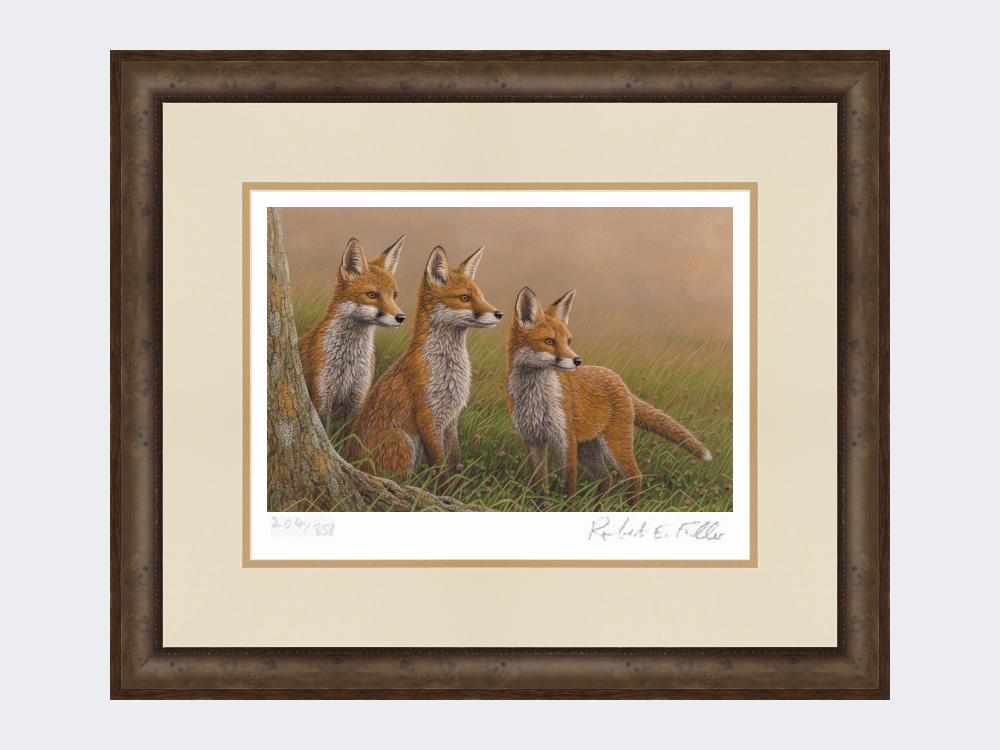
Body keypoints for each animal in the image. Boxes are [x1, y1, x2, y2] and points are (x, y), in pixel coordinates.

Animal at [297, 235, 406, 430]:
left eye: (394, 295)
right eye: (372, 295)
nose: (401, 317)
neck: (349, 361)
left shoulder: (357, 397)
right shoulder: (322, 395)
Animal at [344, 245, 502, 481]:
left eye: (481, 296)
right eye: (464, 297)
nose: (499, 313)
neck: (447, 369)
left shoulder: (450, 419)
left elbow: (455, 462)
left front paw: (455, 487)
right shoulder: (427, 416)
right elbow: (440, 467)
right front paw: (443, 489)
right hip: (400, 438)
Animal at [505, 286, 712, 501]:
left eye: (569, 341)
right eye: (549, 341)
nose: (577, 361)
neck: (535, 397)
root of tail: (617, 378)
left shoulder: (565, 439)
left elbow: (569, 485)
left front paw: (567, 505)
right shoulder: (533, 439)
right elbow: (539, 484)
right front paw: (541, 504)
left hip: (614, 444)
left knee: (635, 476)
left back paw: (629, 505)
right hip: (587, 449)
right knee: (606, 479)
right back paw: (598, 505)